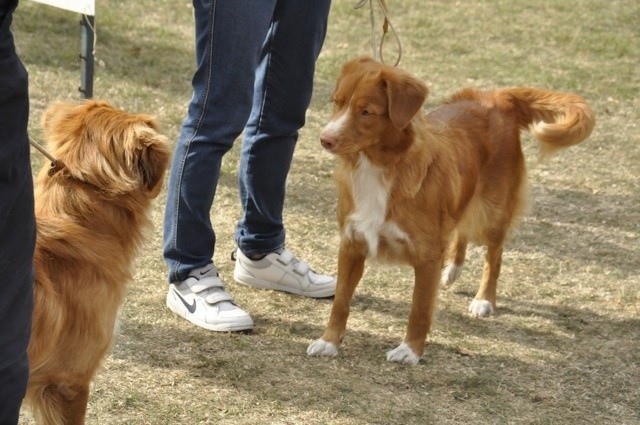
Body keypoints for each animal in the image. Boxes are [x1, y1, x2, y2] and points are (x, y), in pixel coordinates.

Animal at [306, 56, 596, 364]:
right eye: (337, 102)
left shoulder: (427, 254)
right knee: (461, 231)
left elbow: (419, 308)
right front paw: (329, 341)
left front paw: (410, 351)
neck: (379, 167)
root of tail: (497, 98)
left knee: (494, 256)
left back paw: (484, 299)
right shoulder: (352, 244)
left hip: (492, 212)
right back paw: (453, 269)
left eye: (366, 111)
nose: (325, 139)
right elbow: (341, 301)